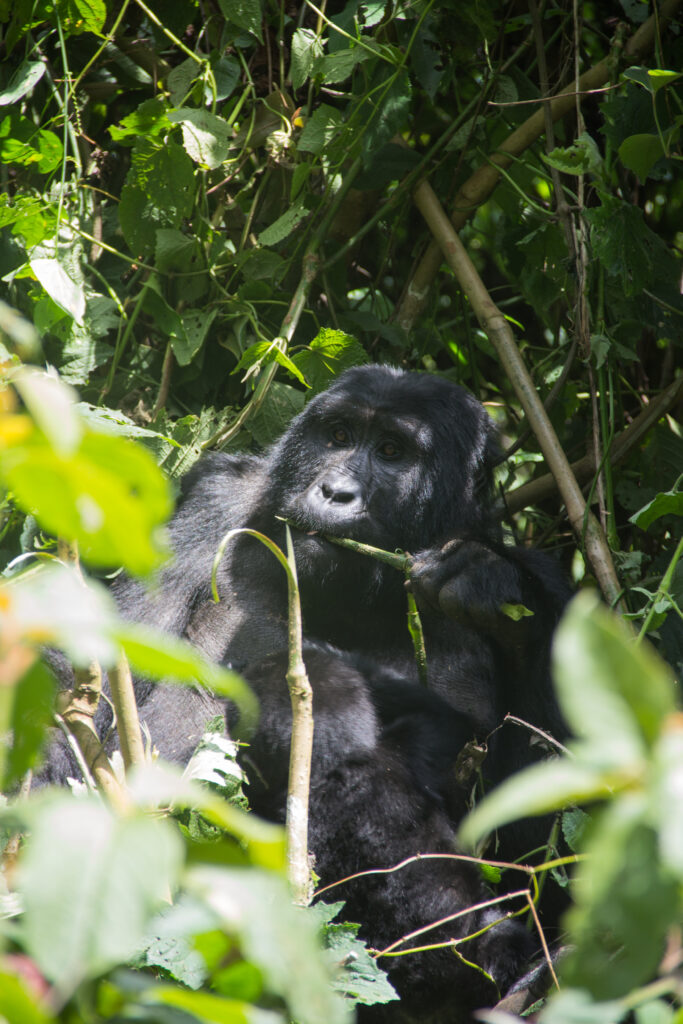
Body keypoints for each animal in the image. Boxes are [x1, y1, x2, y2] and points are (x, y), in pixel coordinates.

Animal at [42, 364, 573, 1019]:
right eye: (338, 435)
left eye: (392, 452)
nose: (336, 492)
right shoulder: (213, 500)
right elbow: (96, 689)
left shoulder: (549, 585)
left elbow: (544, 855)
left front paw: (489, 588)